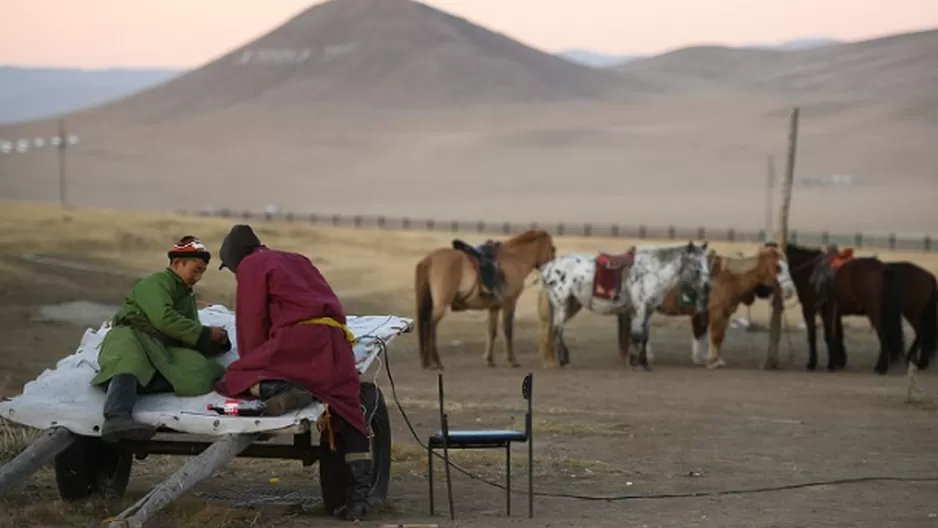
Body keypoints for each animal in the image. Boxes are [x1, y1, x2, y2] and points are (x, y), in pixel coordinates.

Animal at [412, 229, 556, 370]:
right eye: (553, 249)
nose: (553, 276)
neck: (514, 261)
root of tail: (429, 259)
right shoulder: (509, 304)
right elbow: (508, 331)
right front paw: (512, 360)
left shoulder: (494, 308)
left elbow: (492, 332)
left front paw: (490, 360)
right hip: (441, 306)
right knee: (430, 326)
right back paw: (437, 362)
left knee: (426, 325)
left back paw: (428, 362)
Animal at [532, 241, 708, 370]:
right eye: (696, 266)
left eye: (707, 264)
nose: (707, 286)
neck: (651, 271)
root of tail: (547, 267)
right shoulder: (641, 308)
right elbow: (637, 335)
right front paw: (636, 363)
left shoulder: (649, 310)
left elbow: (644, 336)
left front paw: (644, 363)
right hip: (561, 304)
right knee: (557, 329)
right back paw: (564, 361)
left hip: (572, 305)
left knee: (557, 329)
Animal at [652, 245, 796, 370]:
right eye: (778, 267)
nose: (790, 291)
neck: (730, 277)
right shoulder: (717, 312)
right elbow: (716, 336)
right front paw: (712, 361)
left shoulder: (720, 314)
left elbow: (715, 336)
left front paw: (710, 359)